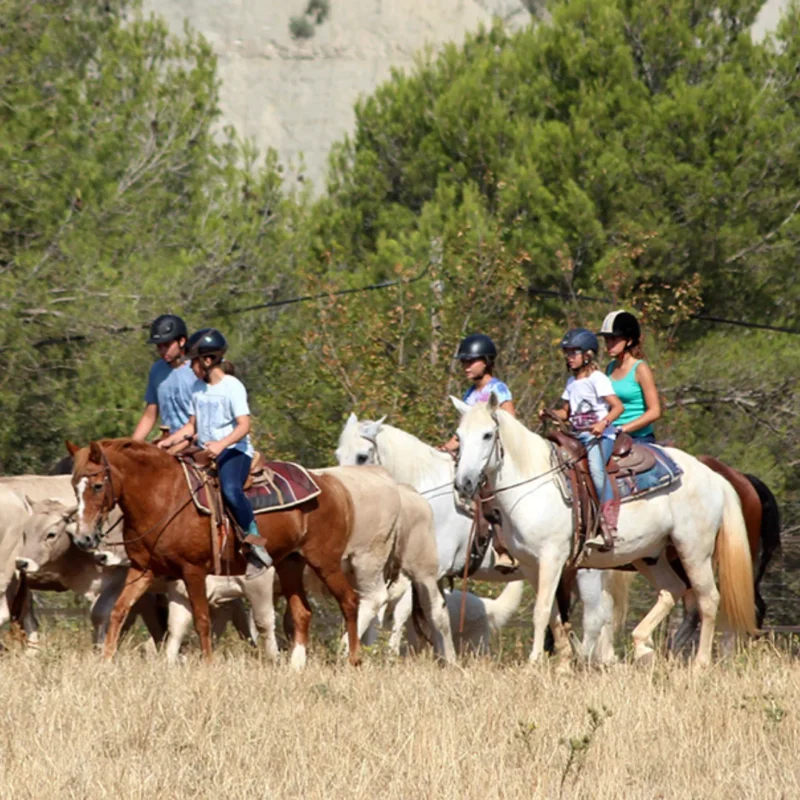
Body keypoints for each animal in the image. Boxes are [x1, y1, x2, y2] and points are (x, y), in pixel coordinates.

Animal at [338, 412, 620, 664]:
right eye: (338, 455)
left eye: (362, 456)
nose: (346, 493)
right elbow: (437, 616)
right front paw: (447, 659)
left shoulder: (426, 572)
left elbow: (418, 614)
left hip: (584, 572)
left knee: (595, 617)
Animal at [454, 396, 760, 668]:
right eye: (459, 436)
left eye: (487, 435)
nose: (463, 484)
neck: (533, 484)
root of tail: (715, 476)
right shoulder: (531, 565)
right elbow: (553, 614)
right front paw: (564, 663)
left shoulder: (552, 559)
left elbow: (541, 612)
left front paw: (534, 663)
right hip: (650, 555)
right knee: (671, 589)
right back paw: (643, 646)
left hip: (694, 550)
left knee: (708, 600)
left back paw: (699, 664)